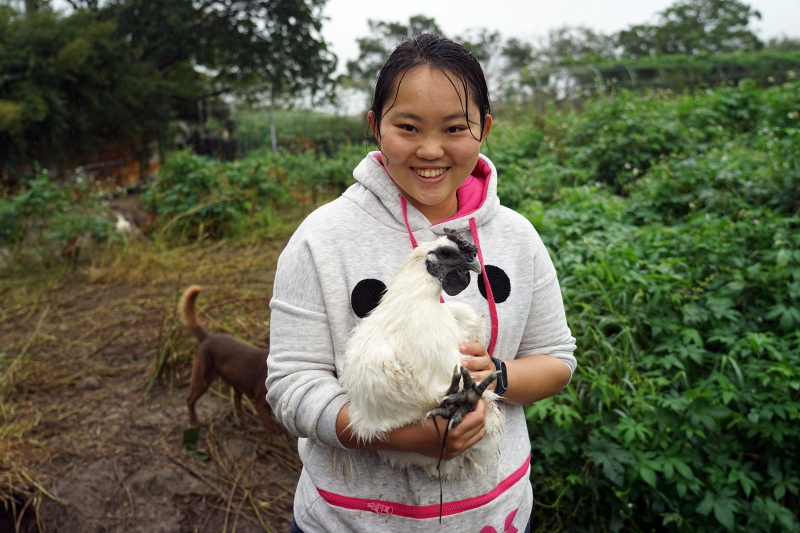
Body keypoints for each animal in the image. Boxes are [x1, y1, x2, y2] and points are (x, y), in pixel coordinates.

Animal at [178, 284, 278, 438]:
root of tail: (207, 337)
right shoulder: (261, 404)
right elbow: (273, 432)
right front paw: (278, 443)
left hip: (236, 385)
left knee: (238, 408)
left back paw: (248, 427)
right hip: (202, 380)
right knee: (190, 399)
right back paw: (193, 421)